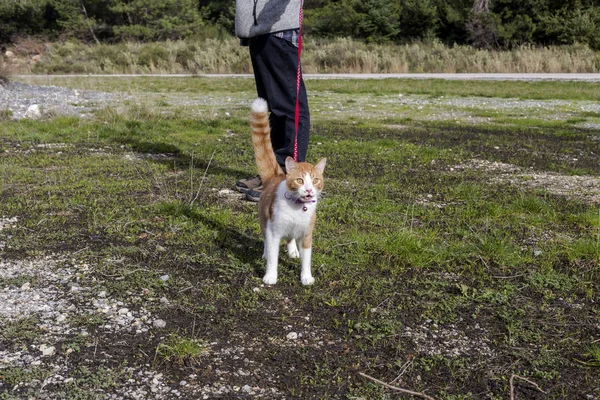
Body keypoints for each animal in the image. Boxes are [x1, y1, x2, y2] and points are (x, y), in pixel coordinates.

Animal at [248, 98, 326, 286]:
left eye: (315, 180)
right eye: (300, 180)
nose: (309, 190)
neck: (298, 207)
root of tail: (277, 176)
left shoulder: (306, 235)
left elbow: (307, 260)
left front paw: (306, 277)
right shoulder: (274, 232)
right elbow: (272, 257)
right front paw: (270, 276)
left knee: (290, 239)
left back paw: (292, 251)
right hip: (264, 221)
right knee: (266, 239)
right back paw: (265, 253)